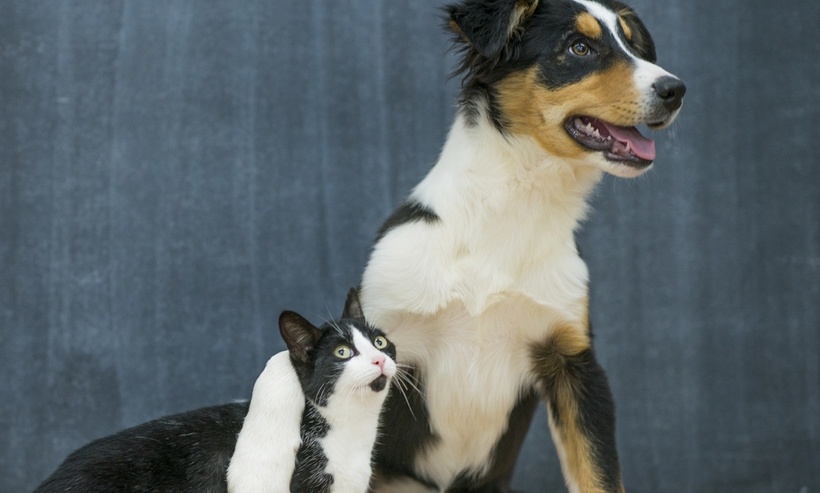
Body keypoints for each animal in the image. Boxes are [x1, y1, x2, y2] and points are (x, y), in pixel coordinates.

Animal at [356, 0, 684, 492]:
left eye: (632, 44)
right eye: (579, 47)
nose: (675, 89)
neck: (512, 209)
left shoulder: (574, 361)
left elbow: (599, 473)